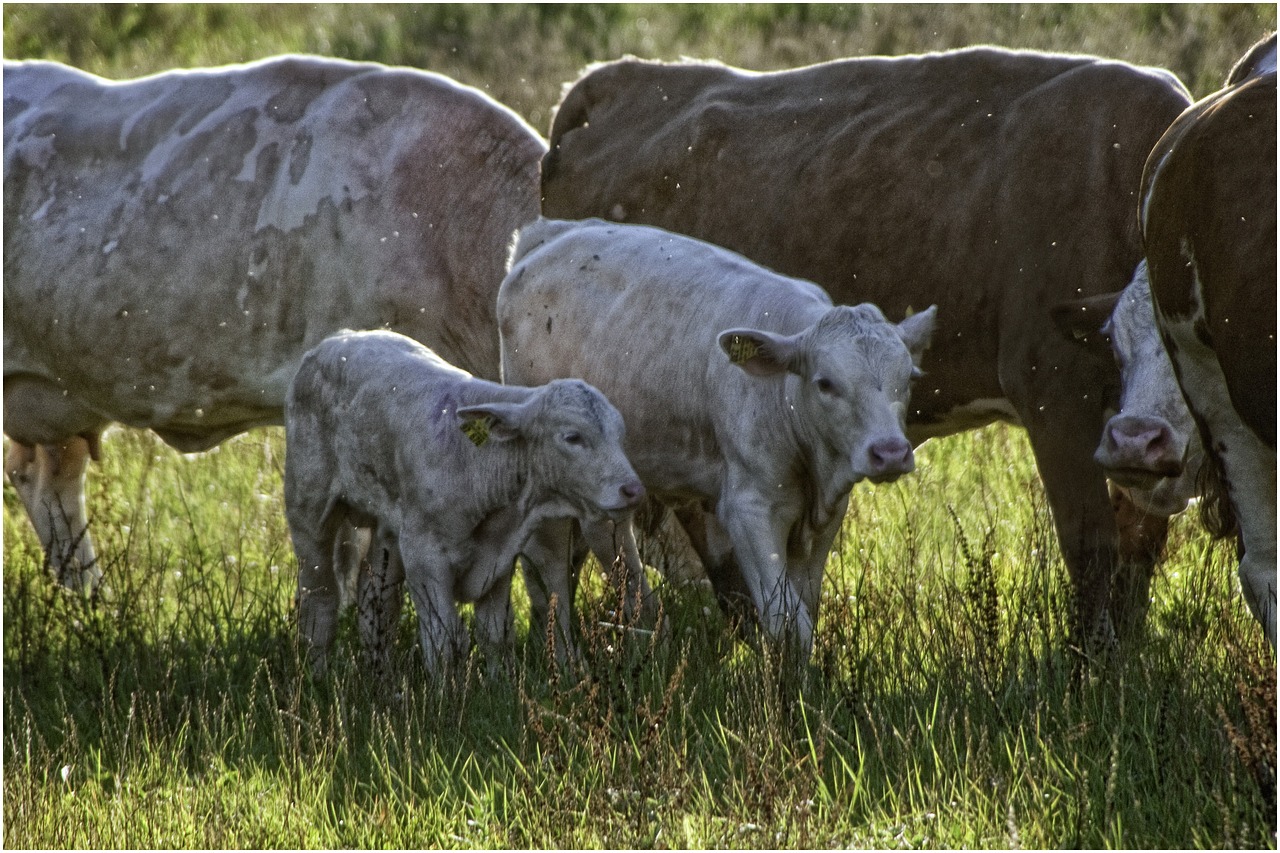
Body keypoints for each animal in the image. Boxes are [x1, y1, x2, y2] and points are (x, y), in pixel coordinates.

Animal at [280, 327, 640, 676]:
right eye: (572, 437)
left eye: (620, 434)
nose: (633, 489)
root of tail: (339, 338)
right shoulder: (425, 557)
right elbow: (444, 640)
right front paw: (444, 692)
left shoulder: (499, 560)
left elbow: (495, 633)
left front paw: (499, 684)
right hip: (308, 506)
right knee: (320, 600)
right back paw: (318, 674)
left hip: (389, 527)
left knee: (377, 605)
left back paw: (381, 677)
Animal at [494, 217, 936, 666]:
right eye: (826, 382)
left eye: (910, 378)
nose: (890, 453)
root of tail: (549, 232)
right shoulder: (749, 508)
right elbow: (788, 621)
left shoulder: (827, 515)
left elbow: (805, 609)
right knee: (550, 557)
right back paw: (572, 657)